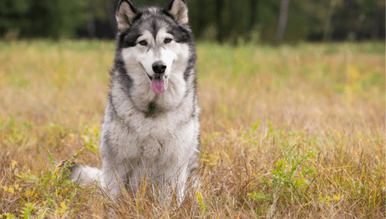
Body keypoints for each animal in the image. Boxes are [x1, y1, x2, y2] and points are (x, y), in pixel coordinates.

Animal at [69, 0, 201, 200]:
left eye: (167, 40)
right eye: (143, 42)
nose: (159, 67)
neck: (154, 110)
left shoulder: (174, 165)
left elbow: (167, 201)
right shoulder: (117, 163)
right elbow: (115, 199)